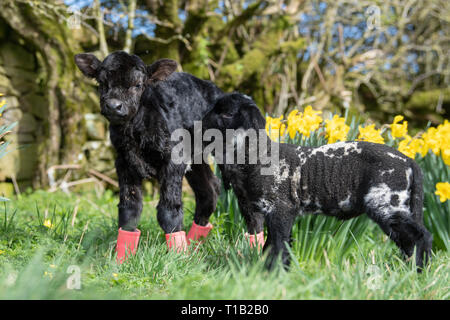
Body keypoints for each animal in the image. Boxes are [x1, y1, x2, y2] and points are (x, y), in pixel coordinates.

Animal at [203, 92, 432, 270]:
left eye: (226, 113)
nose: (201, 122)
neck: (258, 156)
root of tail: (410, 162)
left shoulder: (281, 210)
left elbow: (277, 247)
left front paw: (272, 275)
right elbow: (274, 246)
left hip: (387, 205)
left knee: (422, 237)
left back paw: (420, 272)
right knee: (408, 242)